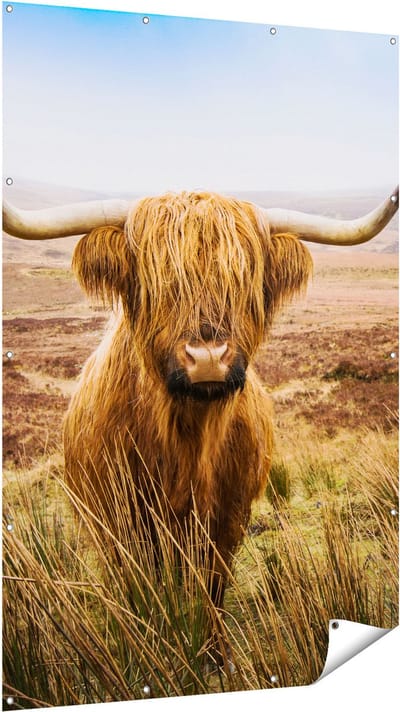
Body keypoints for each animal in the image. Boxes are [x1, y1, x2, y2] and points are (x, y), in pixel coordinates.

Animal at [3, 187, 398, 661]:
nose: (208, 357)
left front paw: (213, 651)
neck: (186, 441)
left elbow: (212, 584)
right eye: (158, 280)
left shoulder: (229, 516)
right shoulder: (119, 521)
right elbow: (141, 589)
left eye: (243, 279)